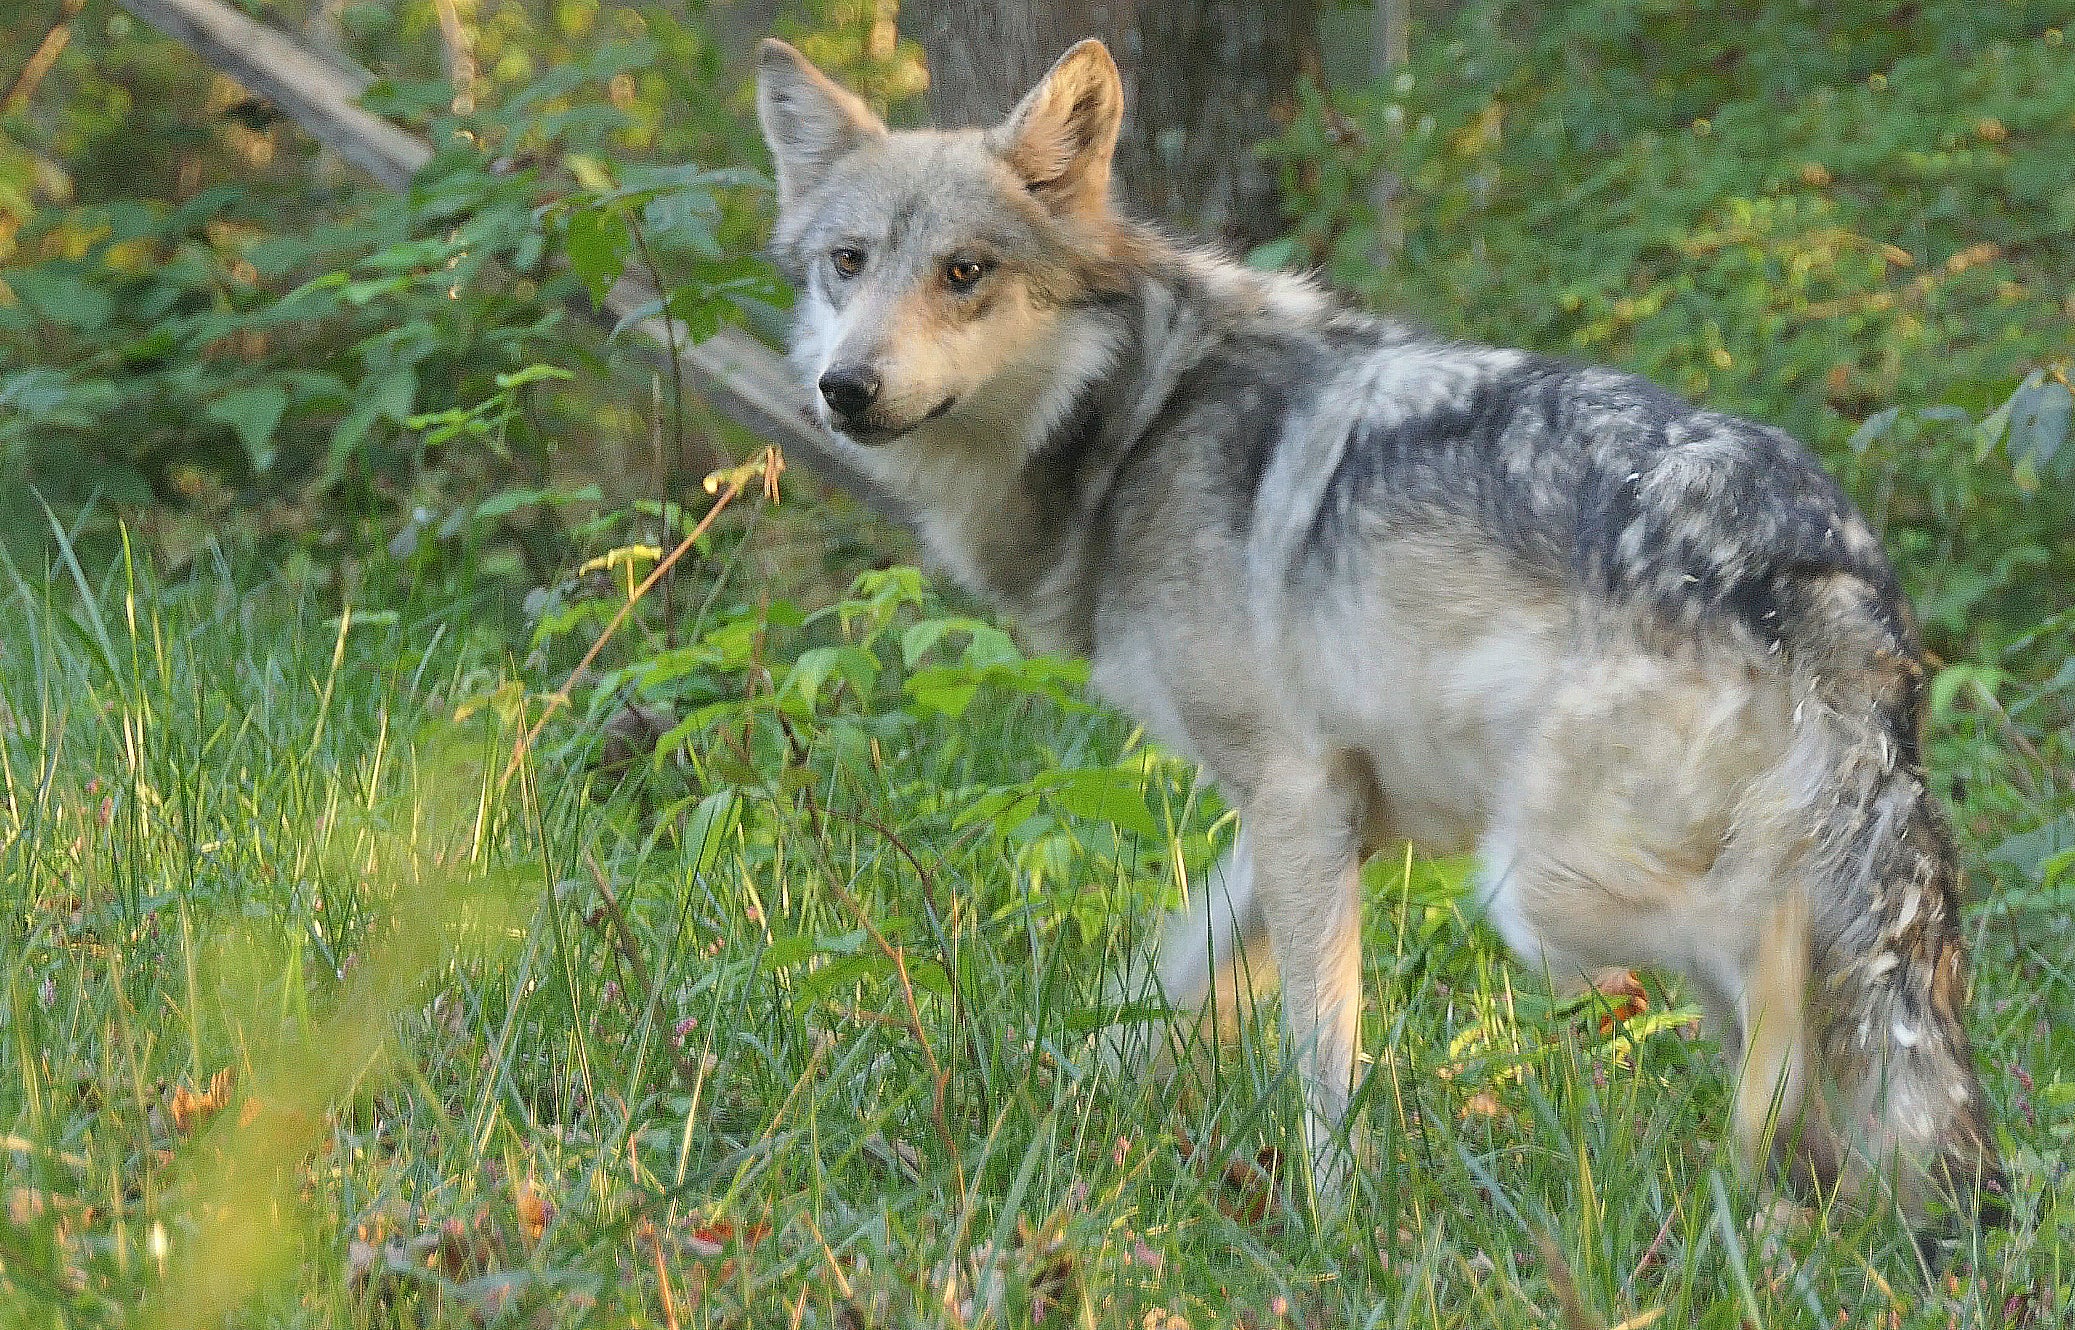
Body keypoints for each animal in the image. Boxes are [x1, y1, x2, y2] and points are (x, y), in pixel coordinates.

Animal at [751, 33, 2008, 1236]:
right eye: (847, 262)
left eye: (963, 272)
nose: (843, 387)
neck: (1136, 416)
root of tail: (1823, 560)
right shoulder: (1319, 817)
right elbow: (1166, 981)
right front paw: (1053, 1107)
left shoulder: (1295, 795)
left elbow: (1319, 1057)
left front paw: (1330, 1219)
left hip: (1537, 894)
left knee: (1766, 959)